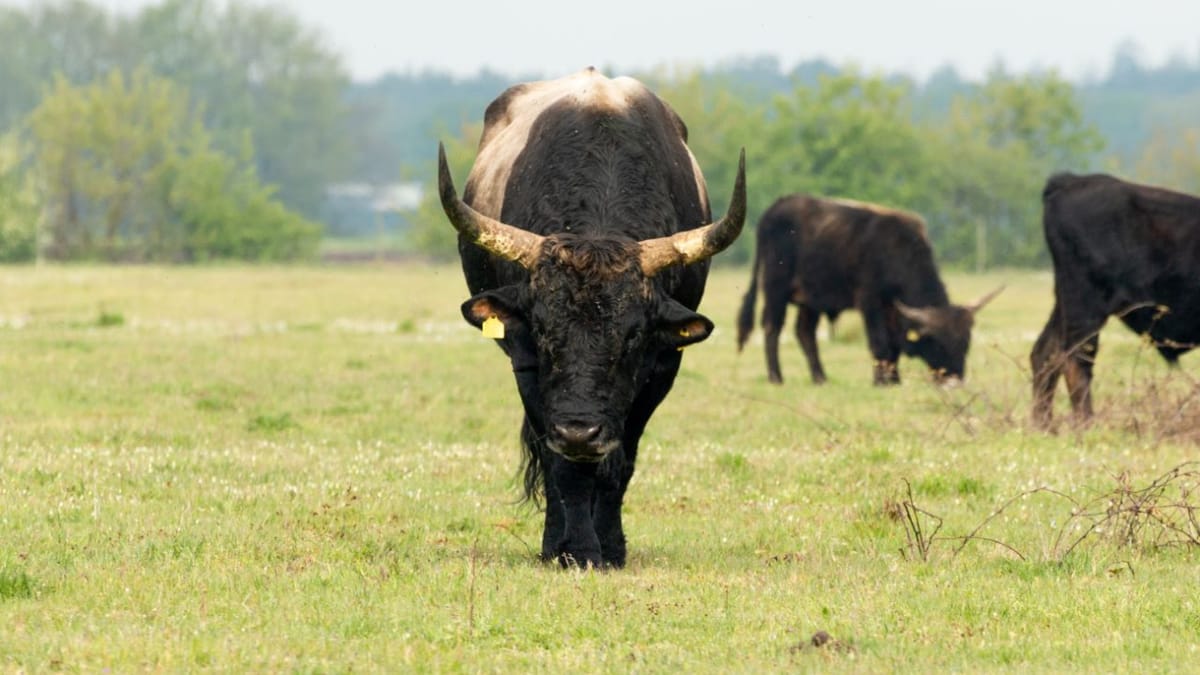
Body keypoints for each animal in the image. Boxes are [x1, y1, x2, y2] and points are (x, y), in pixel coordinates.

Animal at [436, 68, 744, 564]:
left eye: (633, 336)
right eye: (542, 329)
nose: (580, 430)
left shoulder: (662, 367)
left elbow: (621, 461)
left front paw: (611, 547)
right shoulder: (526, 366)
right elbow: (563, 467)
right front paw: (575, 549)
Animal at [734, 194, 998, 384]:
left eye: (965, 342)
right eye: (938, 342)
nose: (955, 379)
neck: (897, 252)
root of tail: (777, 206)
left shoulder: (893, 311)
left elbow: (893, 344)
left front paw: (894, 380)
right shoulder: (870, 303)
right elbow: (879, 342)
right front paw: (881, 381)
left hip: (811, 299)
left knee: (805, 333)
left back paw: (820, 377)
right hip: (775, 288)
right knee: (772, 328)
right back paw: (776, 377)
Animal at [1032, 172, 1200, 425]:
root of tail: (1070, 181)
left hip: (1064, 305)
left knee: (1045, 354)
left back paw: (1044, 427)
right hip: (1086, 306)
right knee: (1075, 361)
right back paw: (1086, 426)